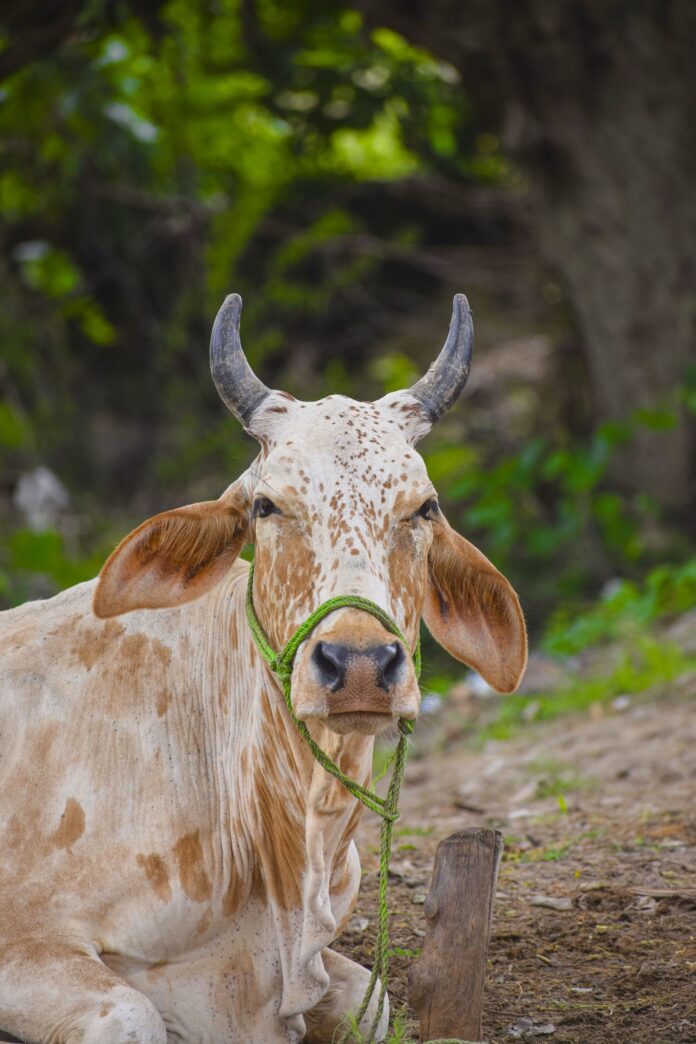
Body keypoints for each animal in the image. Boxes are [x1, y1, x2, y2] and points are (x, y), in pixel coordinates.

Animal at [0, 294, 526, 1044]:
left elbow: (373, 1003)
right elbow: (132, 1014)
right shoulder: (31, 943)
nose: (359, 664)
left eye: (423, 508)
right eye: (267, 505)